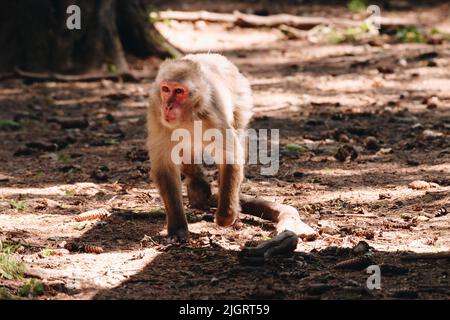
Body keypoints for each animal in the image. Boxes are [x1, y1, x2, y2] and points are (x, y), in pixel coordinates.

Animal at [148, 53, 253, 241]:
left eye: (179, 91)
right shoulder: (157, 116)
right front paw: (178, 228)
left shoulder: (211, 115)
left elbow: (230, 157)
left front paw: (225, 216)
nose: (167, 106)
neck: (187, 116)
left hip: (242, 98)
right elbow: (164, 166)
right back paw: (196, 181)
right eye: (165, 89)